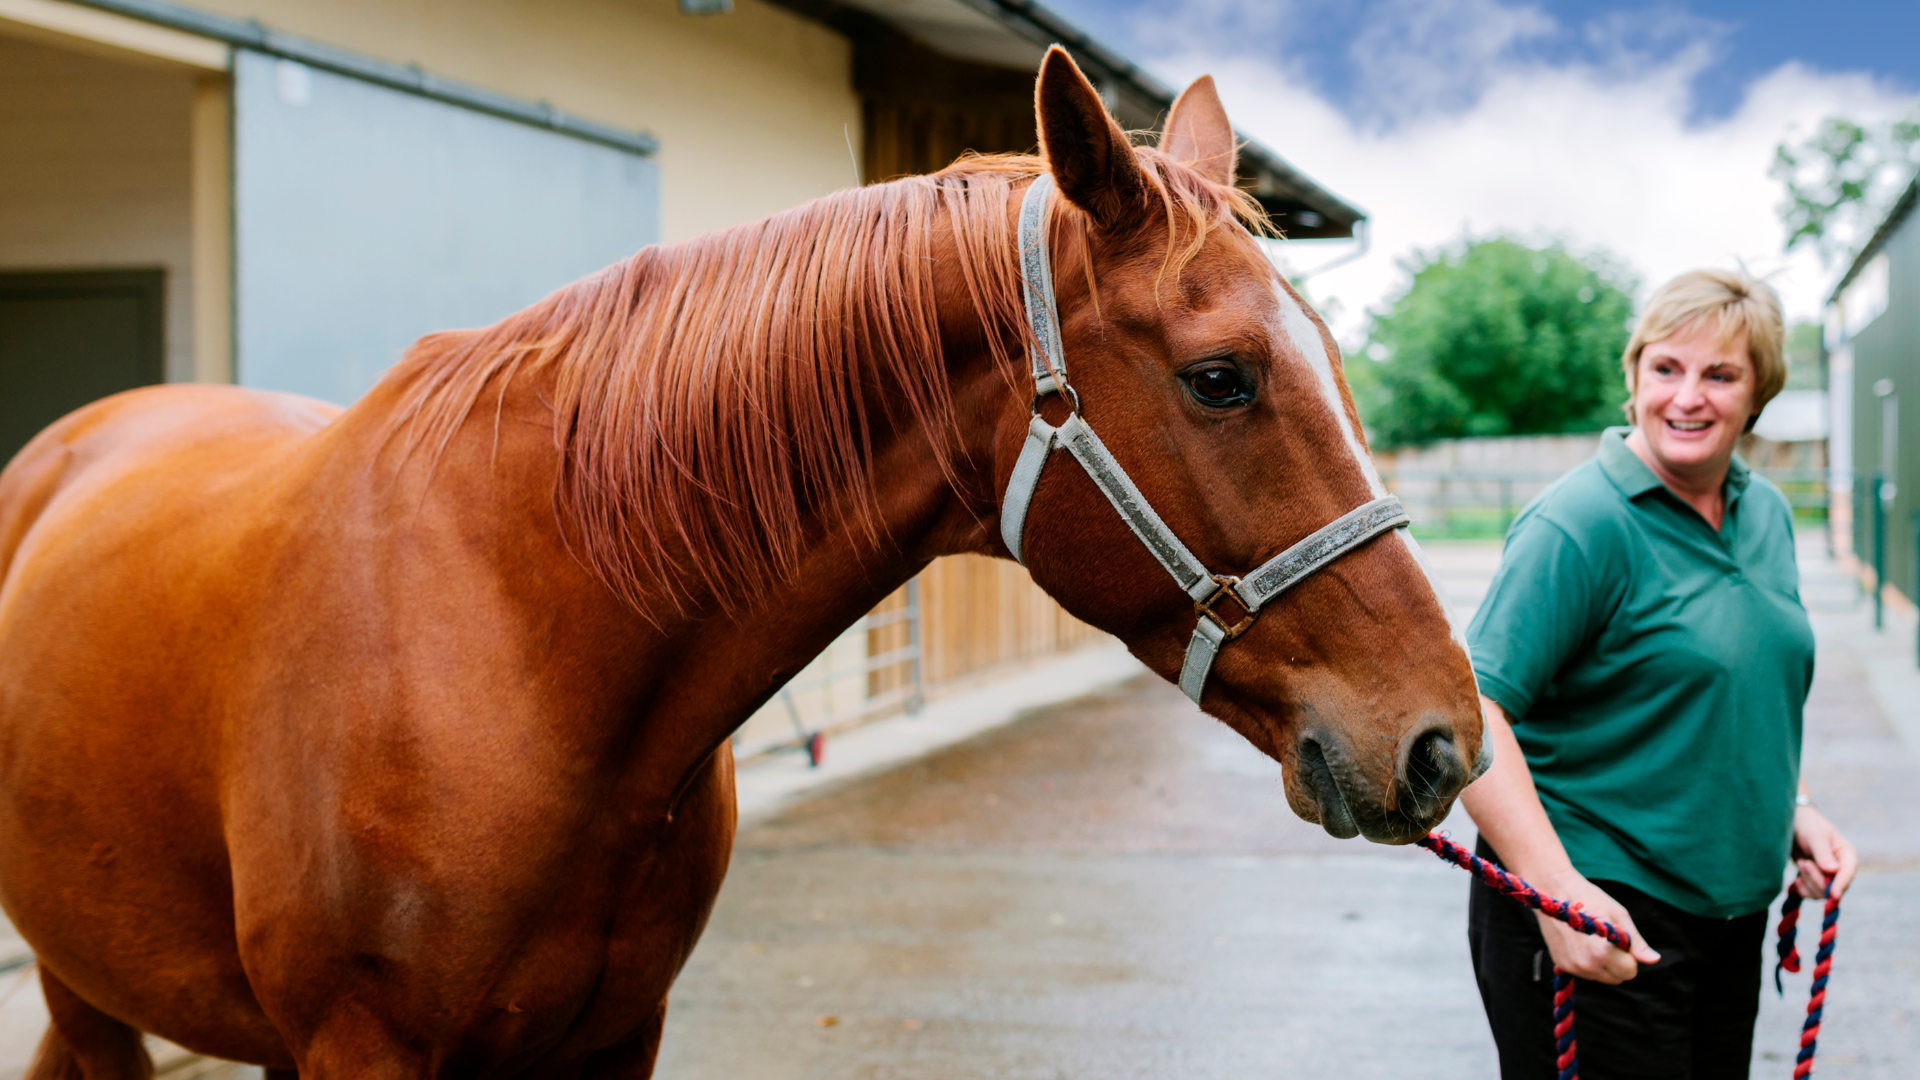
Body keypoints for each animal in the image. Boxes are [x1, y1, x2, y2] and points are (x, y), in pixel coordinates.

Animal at [0, 52, 1474, 1076]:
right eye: (1222, 378)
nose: (1443, 740)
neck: (515, 649)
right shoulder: (364, 1045)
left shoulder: (614, 1038)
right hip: (87, 983)